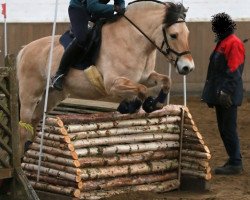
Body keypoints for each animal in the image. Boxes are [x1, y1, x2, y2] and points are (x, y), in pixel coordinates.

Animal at [16, 0, 194, 155]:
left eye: (187, 34)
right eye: (173, 35)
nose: (187, 67)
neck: (133, 40)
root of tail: (25, 49)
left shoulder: (145, 77)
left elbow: (165, 81)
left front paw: (154, 104)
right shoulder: (113, 84)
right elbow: (141, 90)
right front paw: (129, 106)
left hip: (53, 94)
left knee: (34, 119)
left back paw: (29, 150)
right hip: (30, 94)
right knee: (23, 127)